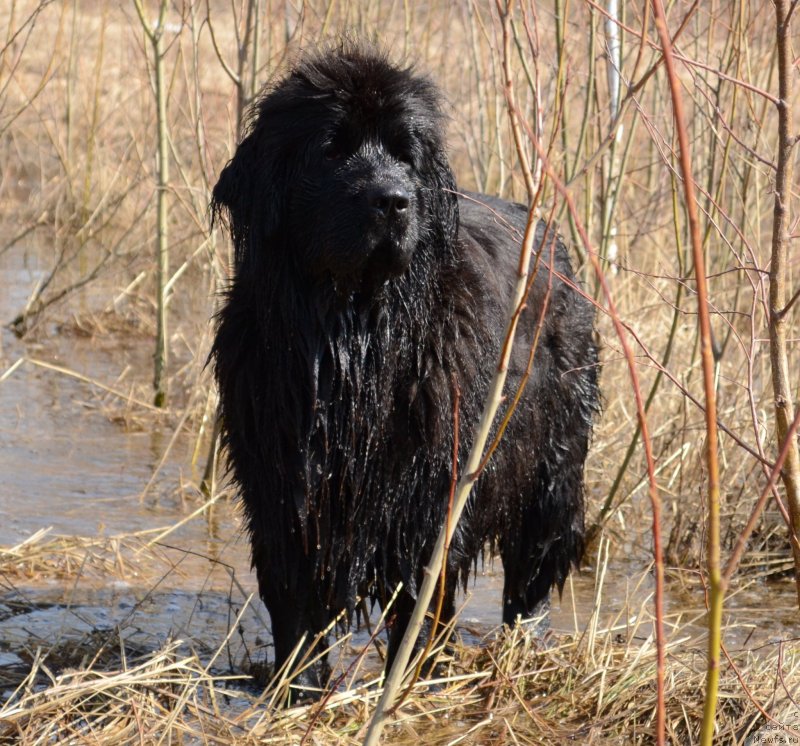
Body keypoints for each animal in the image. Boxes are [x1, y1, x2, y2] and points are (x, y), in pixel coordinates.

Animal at [209, 45, 596, 696]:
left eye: (405, 153)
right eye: (331, 148)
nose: (393, 200)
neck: (355, 341)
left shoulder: (433, 492)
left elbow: (422, 603)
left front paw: (405, 688)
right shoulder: (283, 493)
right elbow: (296, 613)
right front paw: (300, 695)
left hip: (554, 456)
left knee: (535, 563)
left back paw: (525, 644)